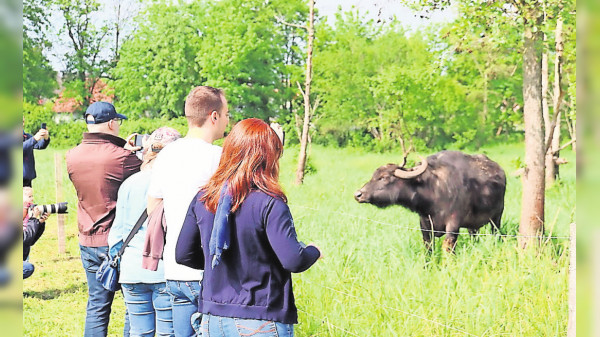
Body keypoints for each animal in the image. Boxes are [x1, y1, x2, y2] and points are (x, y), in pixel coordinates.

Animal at [356, 151, 506, 251]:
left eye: (384, 177)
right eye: (373, 175)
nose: (358, 194)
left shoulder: (453, 223)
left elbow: (448, 247)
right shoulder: (424, 224)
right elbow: (428, 247)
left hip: (497, 217)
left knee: (496, 232)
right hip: (473, 225)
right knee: (473, 235)